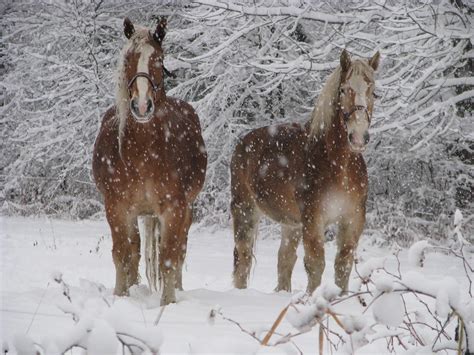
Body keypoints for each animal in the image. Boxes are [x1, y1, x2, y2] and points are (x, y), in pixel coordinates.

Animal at [91, 17, 206, 306]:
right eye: (129, 58)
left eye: (158, 59)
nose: (142, 106)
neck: (144, 153)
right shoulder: (117, 207)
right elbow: (122, 254)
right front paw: (121, 296)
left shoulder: (174, 209)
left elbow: (169, 257)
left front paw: (169, 303)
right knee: (134, 249)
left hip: (186, 210)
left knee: (180, 250)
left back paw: (178, 289)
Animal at [231, 49, 380, 294]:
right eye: (343, 89)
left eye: (373, 92)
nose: (359, 137)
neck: (339, 166)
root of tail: (243, 142)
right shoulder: (313, 218)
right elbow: (315, 263)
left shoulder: (353, 218)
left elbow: (343, 264)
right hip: (245, 210)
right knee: (242, 257)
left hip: (290, 223)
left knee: (284, 259)